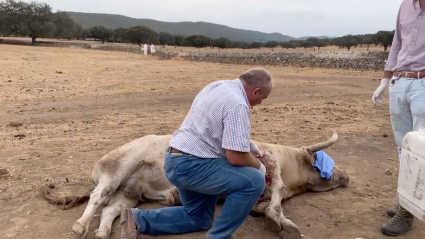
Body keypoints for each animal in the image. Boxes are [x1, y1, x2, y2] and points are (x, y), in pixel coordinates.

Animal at [41, 130, 350, 239]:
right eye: (321, 163)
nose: (345, 176)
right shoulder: (269, 167)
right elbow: (274, 199)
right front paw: (283, 223)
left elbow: (267, 205)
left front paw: (279, 222)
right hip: (119, 167)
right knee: (98, 196)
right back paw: (80, 226)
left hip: (129, 193)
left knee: (111, 208)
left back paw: (104, 232)